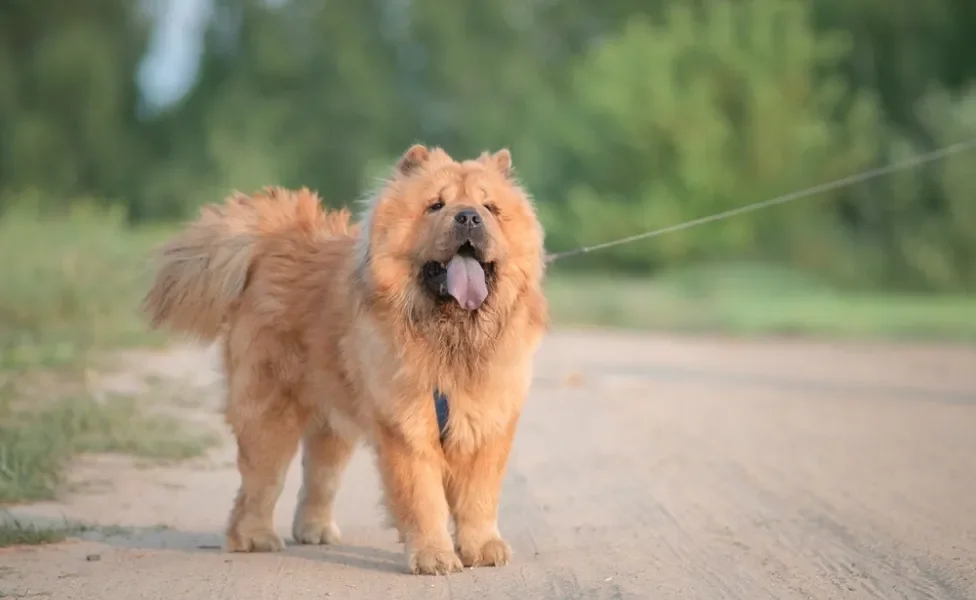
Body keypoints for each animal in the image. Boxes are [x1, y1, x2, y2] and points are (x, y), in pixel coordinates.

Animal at [141, 143, 548, 576]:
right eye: (436, 205)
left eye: (490, 207)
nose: (468, 216)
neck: (452, 337)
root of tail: (274, 242)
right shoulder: (405, 426)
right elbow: (423, 497)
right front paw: (434, 556)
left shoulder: (488, 421)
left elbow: (479, 496)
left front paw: (484, 548)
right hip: (271, 412)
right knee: (261, 482)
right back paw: (254, 537)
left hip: (334, 420)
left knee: (320, 476)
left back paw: (315, 531)